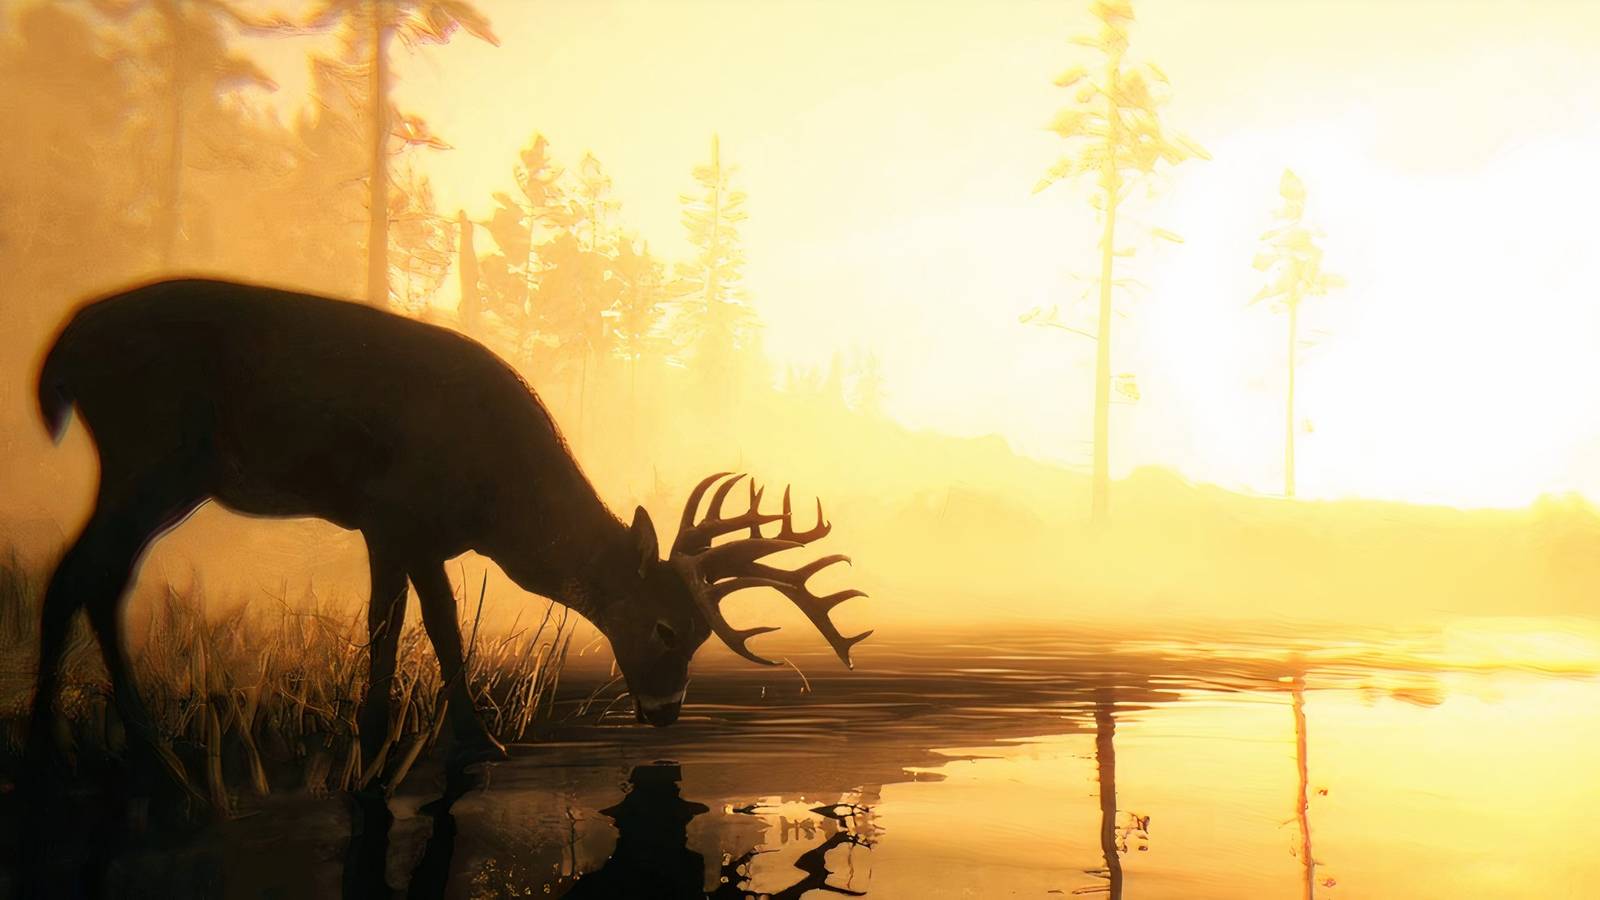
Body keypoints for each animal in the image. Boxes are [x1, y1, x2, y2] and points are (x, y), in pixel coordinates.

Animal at [28, 277, 870, 779]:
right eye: (666, 627)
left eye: (700, 634)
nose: (665, 713)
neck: (499, 497)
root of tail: (64, 345)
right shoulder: (394, 515)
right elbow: (412, 623)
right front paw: (410, 738)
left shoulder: (412, 533)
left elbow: (419, 623)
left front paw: (422, 733)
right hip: (149, 453)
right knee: (75, 573)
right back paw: (65, 742)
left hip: (168, 477)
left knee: (100, 579)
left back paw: (125, 741)